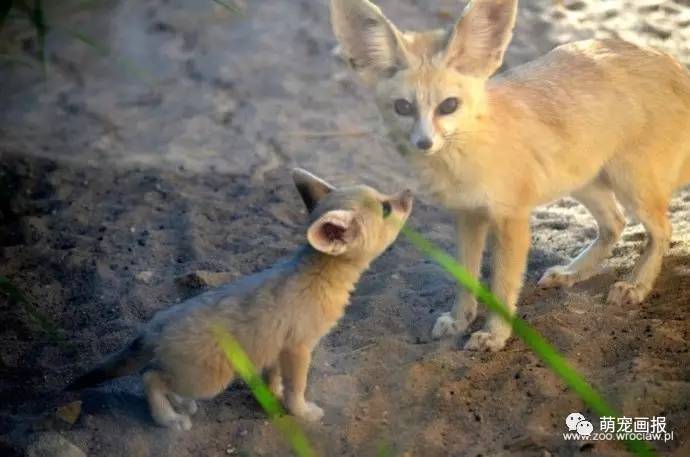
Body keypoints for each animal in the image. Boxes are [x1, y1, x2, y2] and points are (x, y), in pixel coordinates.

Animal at [68, 169, 414, 430]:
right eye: (386, 208)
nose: (409, 192)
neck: (317, 274)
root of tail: (155, 326)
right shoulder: (299, 348)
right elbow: (297, 387)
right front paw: (301, 412)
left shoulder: (278, 347)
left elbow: (274, 378)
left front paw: (273, 397)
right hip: (208, 379)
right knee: (150, 378)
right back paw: (168, 418)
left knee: (159, 376)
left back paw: (179, 405)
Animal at [328, 0, 688, 352]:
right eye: (403, 107)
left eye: (448, 105)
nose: (424, 143)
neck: (468, 155)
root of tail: (673, 63)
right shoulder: (468, 215)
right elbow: (465, 276)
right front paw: (459, 319)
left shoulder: (511, 219)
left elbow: (502, 285)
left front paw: (494, 335)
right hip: (582, 182)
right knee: (615, 224)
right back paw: (572, 272)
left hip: (631, 186)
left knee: (663, 231)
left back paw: (635, 284)